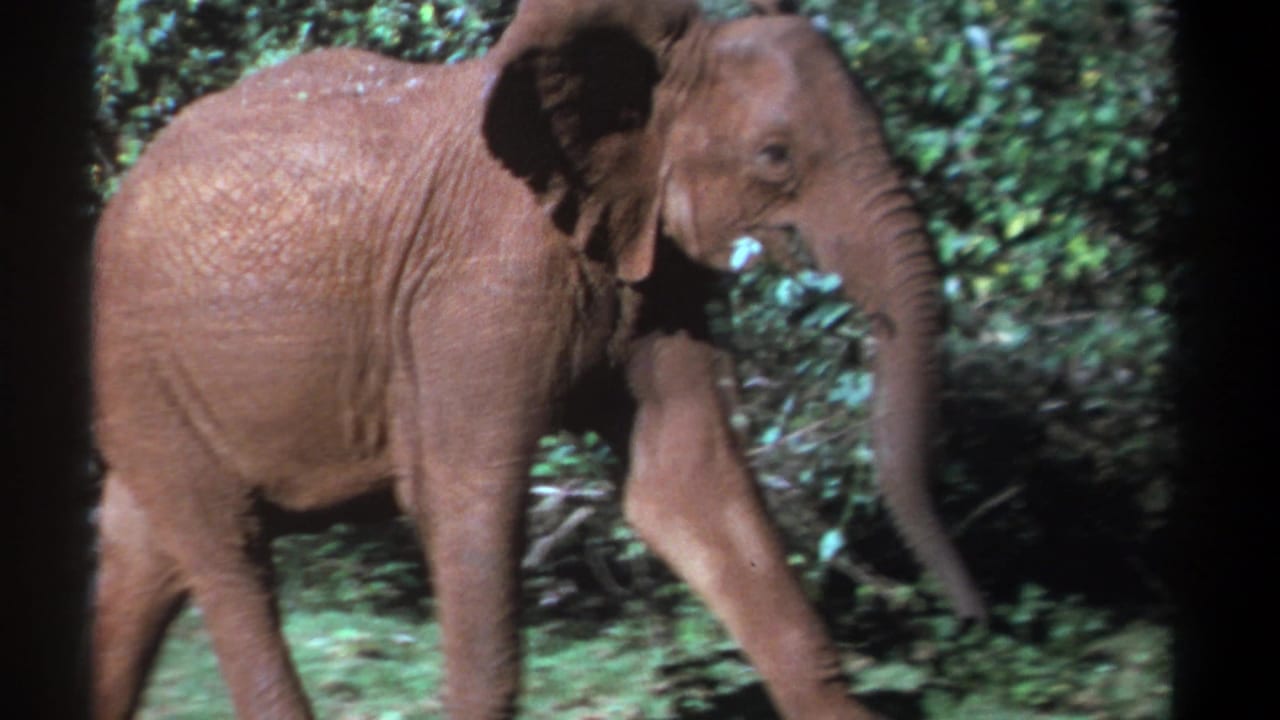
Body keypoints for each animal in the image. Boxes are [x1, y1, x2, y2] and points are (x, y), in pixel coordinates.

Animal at [90, 0, 986, 718]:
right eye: (775, 156)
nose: (974, 614)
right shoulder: (480, 281)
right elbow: (463, 491)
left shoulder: (648, 269)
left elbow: (686, 484)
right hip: (143, 365)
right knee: (228, 554)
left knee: (141, 564)